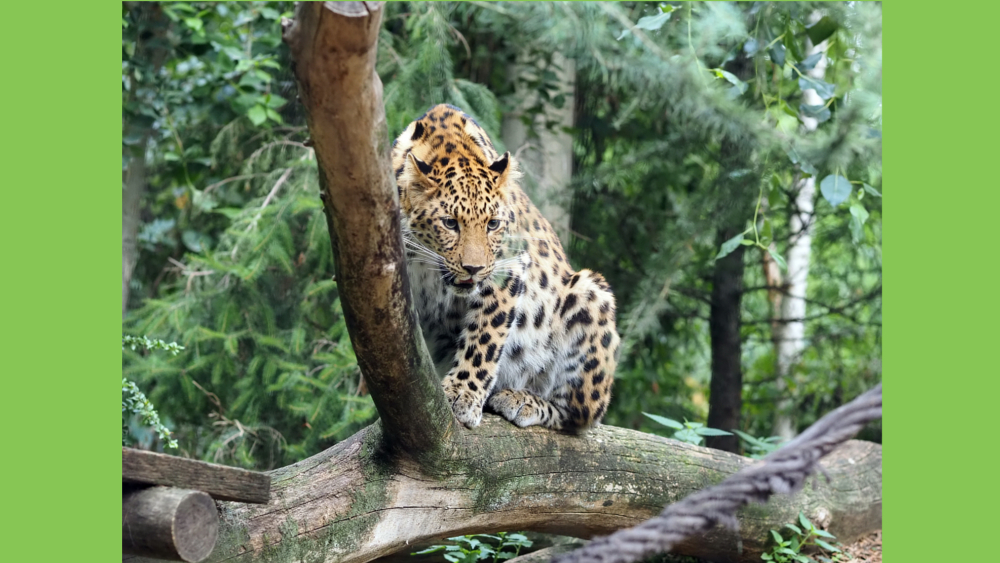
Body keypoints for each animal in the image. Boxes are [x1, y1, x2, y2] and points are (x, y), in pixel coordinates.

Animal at [390, 104, 616, 432]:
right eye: (450, 223)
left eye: (493, 224)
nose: (474, 268)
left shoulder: (507, 269)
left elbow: (484, 338)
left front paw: (462, 395)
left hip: (590, 294)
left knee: (578, 415)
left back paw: (522, 400)